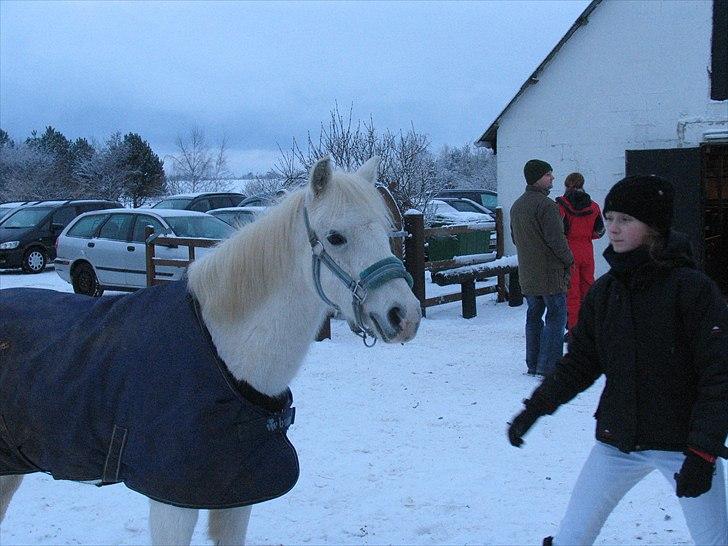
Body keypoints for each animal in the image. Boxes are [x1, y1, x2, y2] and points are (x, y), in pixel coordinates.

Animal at [0, 156, 421, 545]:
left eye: (386, 231)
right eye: (335, 237)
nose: (405, 315)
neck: (221, 352)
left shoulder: (236, 497)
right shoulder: (171, 504)